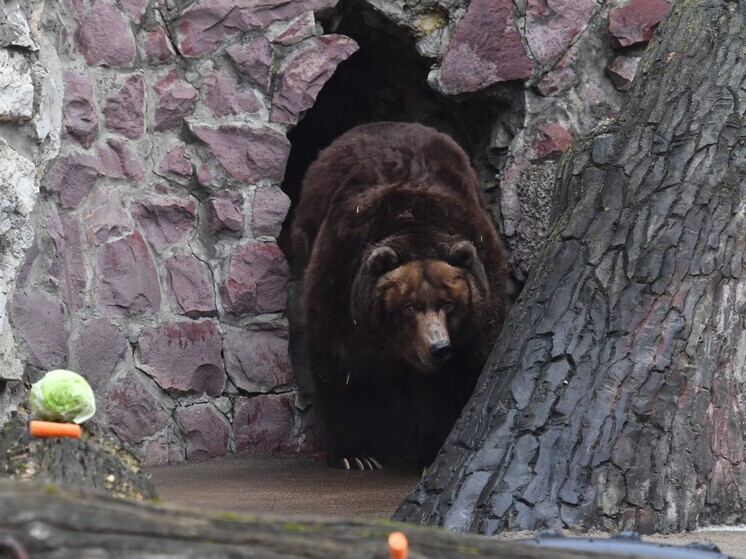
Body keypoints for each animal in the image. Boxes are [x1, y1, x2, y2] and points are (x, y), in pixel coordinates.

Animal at [290, 122, 508, 470]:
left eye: (448, 303)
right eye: (409, 306)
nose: (438, 348)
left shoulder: (480, 304)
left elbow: (455, 379)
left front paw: (433, 447)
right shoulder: (341, 279)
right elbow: (341, 367)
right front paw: (356, 453)